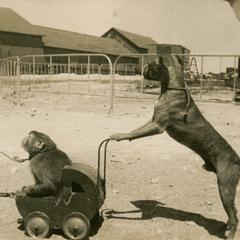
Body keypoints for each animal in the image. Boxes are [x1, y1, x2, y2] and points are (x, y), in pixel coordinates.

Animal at [110, 55, 240, 239]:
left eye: (151, 64)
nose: (140, 68)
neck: (173, 88)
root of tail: (237, 159)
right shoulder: (152, 121)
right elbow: (136, 130)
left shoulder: (157, 126)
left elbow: (135, 133)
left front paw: (119, 136)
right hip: (226, 190)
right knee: (234, 213)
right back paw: (226, 227)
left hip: (225, 188)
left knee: (235, 216)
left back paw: (230, 233)